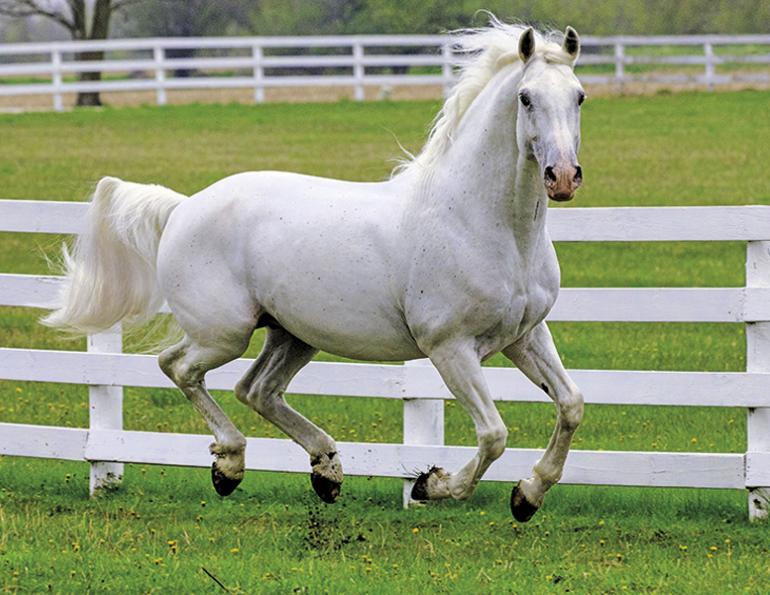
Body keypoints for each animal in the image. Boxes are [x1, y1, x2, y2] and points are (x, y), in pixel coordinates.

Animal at [44, 22, 586, 522]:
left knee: (255, 389)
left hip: (292, 334)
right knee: (179, 367)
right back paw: (230, 467)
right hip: (225, 333)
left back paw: (326, 471)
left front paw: (528, 494)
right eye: (526, 98)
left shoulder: (525, 336)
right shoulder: (449, 347)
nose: (562, 177)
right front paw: (432, 485)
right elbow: (494, 435)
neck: (484, 224)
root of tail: (182, 207)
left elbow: (571, 403)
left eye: (579, 95)